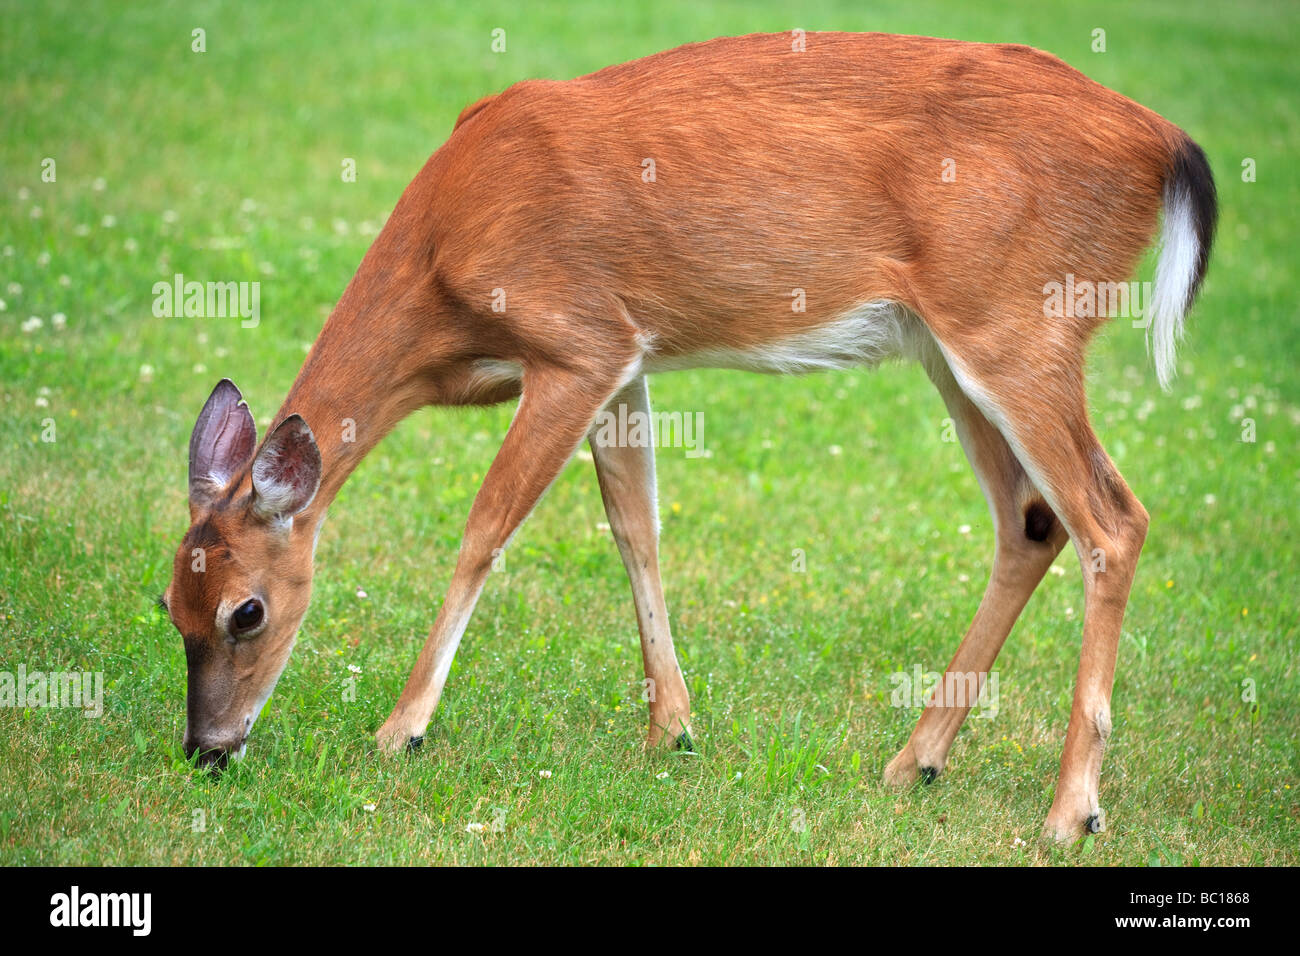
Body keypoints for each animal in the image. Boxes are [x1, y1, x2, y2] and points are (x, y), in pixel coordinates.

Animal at [160, 31, 1216, 842]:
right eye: (168, 602)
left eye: (247, 612)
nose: (206, 750)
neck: (442, 270)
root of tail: (1167, 142)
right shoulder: (627, 359)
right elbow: (637, 527)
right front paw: (673, 729)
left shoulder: (577, 341)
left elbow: (487, 527)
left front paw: (401, 729)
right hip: (955, 346)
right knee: (1031, 521)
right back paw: (911, 763)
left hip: (1020, 322)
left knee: (1113, 519)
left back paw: (1069, 812)